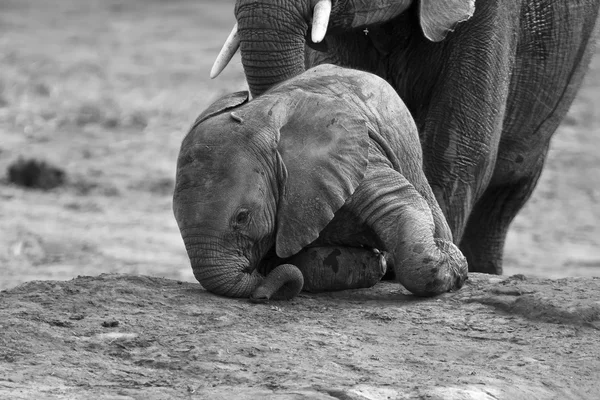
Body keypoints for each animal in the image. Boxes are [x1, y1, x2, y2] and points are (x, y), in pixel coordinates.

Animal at [171, 63, 466, 300]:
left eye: (242, 218)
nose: (261, 295)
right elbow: (310, 264)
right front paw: (374, 264)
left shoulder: (356, 158)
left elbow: (401, 206)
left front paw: (453, 260)